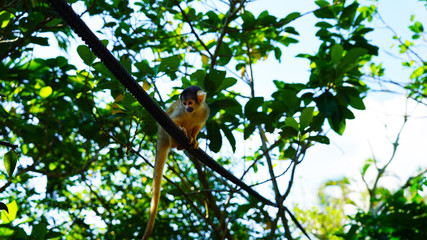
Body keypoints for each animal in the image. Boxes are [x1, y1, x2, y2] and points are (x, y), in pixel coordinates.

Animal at [142, 86, 211, 240]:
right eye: (184, 103)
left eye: (190, 102)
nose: (187, 108)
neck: (195, 110)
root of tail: (159, 138)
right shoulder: (180, 112)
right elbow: (174, 119)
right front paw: (183, 130)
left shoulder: (205, 111)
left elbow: (199, 125)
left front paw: (194, 139)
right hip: (163, 132)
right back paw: (176, 143)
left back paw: (184, 143)